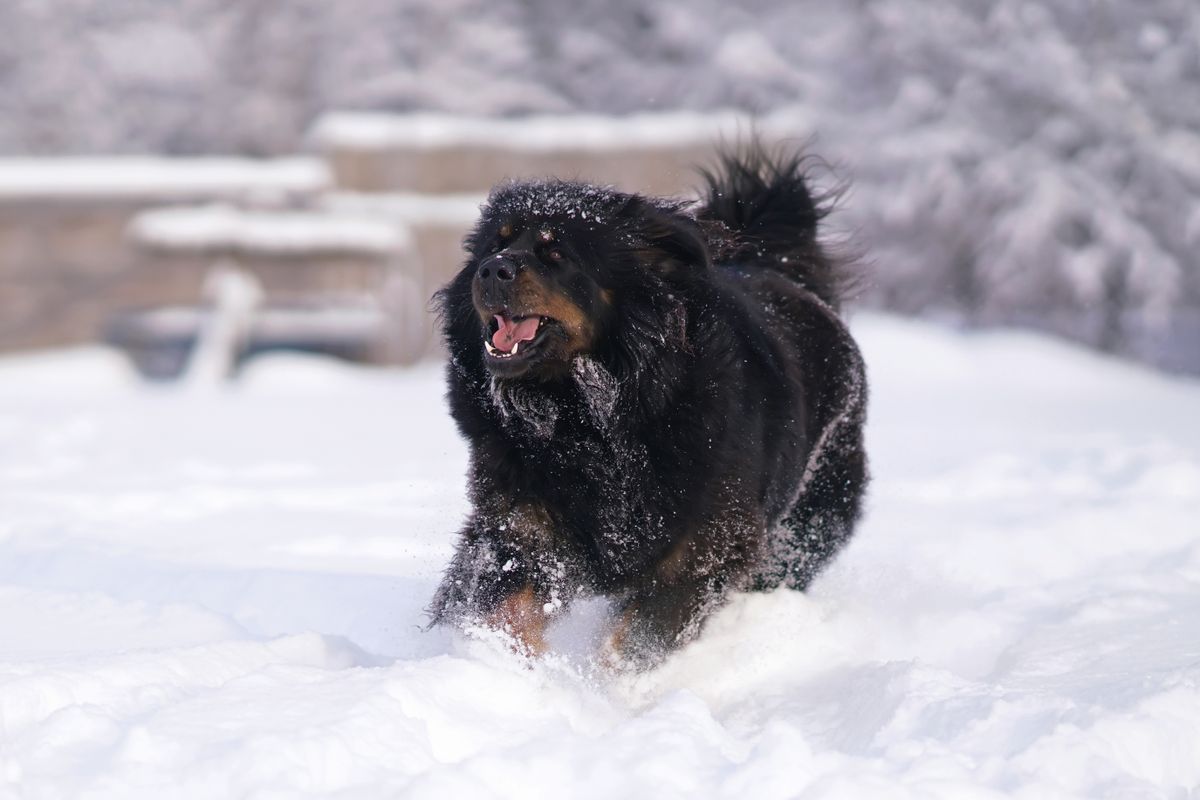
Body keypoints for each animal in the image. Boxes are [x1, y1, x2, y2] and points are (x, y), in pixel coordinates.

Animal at [427, 146, 868, 666]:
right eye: (494, 245)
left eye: (557, 253)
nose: (493, 269)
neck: (587, 417)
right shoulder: (521, 519)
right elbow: (503, 605)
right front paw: (497, 663)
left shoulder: (709, 543)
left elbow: (640, 633)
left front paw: (606, 681)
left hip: (806, 524)